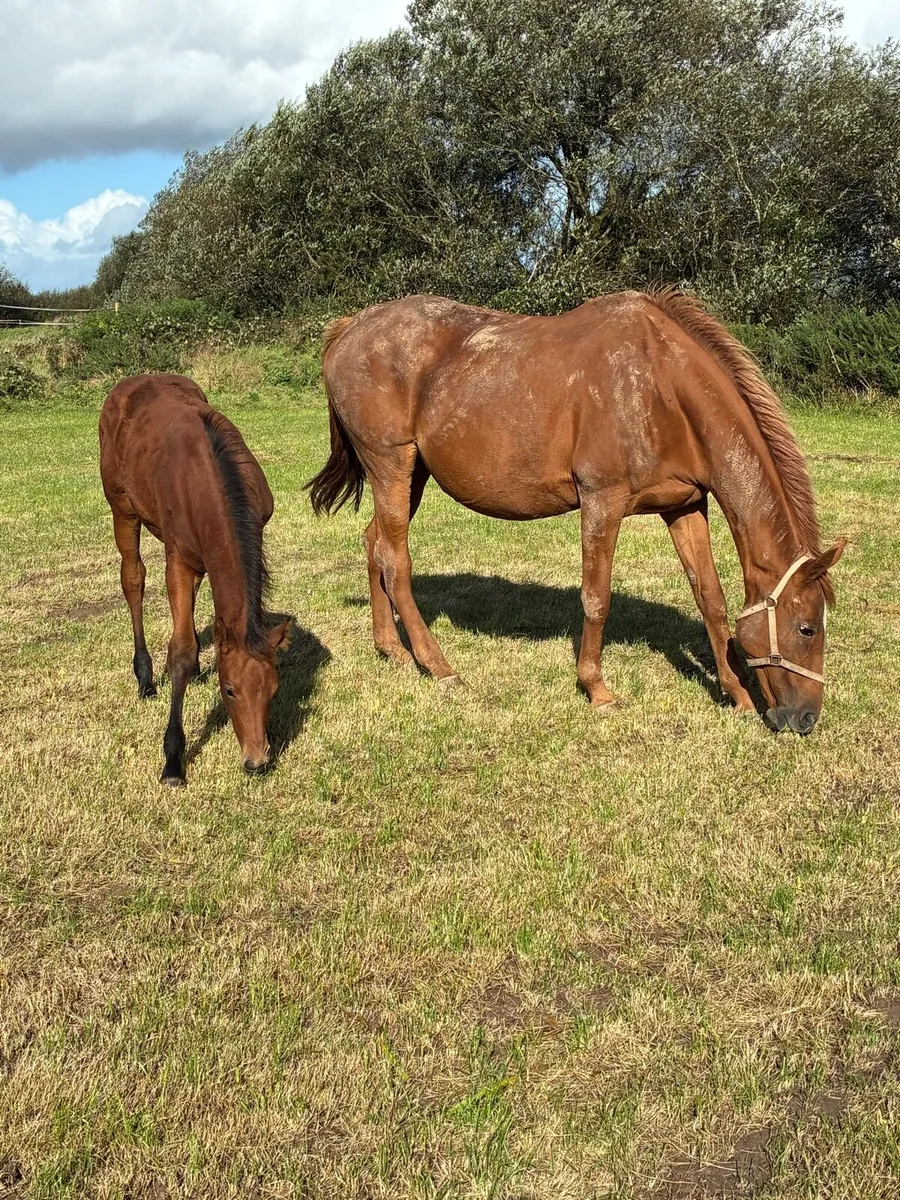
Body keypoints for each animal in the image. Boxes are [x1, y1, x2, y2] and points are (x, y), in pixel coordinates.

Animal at [100, 375, 290, 784]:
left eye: (272, 690)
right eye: (230, 691)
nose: (256, 760)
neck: (208, 478)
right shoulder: (178, 559)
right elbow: (181, 650)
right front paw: (173, 758)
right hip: (122, 509)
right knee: (133, 578)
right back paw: (145, 677)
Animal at [307, 289, 845, 735]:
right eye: (806, 627)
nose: (806, 718)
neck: (661, 385)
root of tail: (349, 328)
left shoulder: (686, 506)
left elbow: (710, 599)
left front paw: (736, 695)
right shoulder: (602, 501)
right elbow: (596, 597)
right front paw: (597, 689)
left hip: (409, 476)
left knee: (375, 544)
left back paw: (392, 650)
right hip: (392, 466)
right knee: (396, 560)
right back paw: (439, 666)